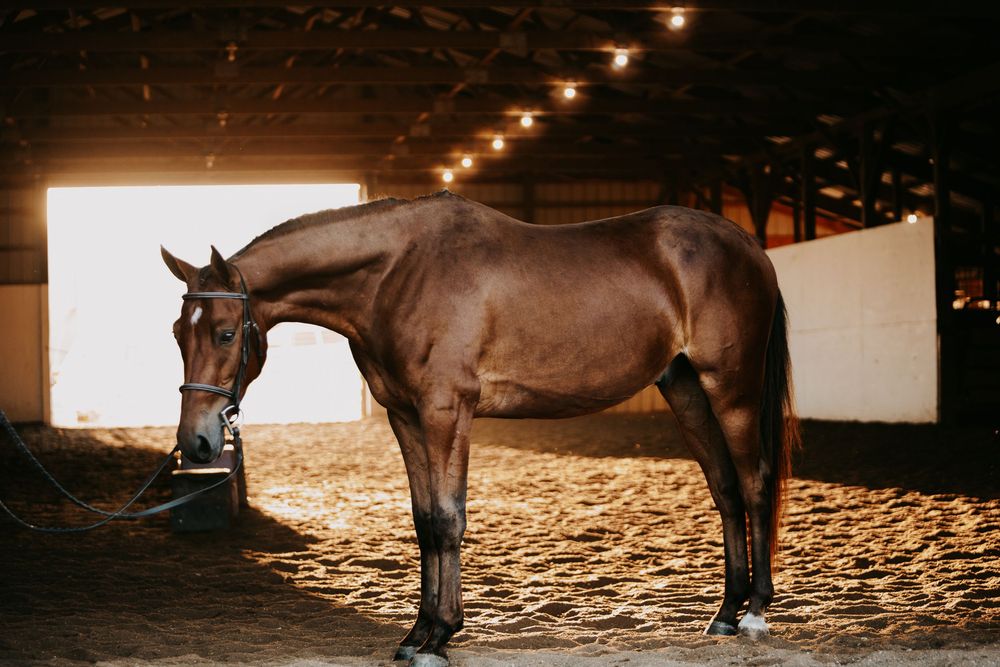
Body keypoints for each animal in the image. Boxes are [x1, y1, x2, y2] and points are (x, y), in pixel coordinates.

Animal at [162, 190, 798, 667]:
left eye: (224, 332)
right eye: (176, 332)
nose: (196, 441)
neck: (398, 272)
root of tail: (749, 245)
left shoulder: (447, 411)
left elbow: (448, 519)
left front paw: (441, 636)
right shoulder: (405, 416)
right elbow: (423, 521)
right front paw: (416, 635)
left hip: (731, 389)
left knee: (754, 484)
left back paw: (756, 614)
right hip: (685, 389)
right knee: (724, 489)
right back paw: (725, 613)